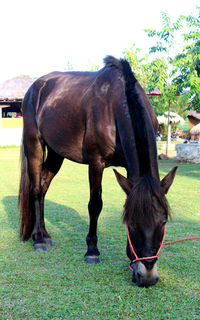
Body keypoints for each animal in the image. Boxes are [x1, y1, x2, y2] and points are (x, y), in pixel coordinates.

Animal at [18, 57, 177, 288]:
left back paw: (45, 234)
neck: (115, 104)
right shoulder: (96, 162)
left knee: (44, 186)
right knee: (36, 190)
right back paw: (38, 239)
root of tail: (35, 87)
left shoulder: (129, 170)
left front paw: (130, 258)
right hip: (35, 146)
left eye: (163, 221)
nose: (147, 278)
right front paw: (92, 251)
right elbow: (95, 205)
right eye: (132, 223)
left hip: (56, 154)